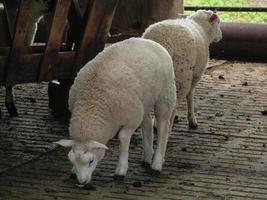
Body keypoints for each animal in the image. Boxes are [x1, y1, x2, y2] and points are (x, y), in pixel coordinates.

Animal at [55, 37, 177, 186]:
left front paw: (121, 170)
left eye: (91, 161)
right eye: (71, 160)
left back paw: (156, 164)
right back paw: (147, 157)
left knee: (163, 127)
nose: (81, 182)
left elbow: (123, 138)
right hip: (144, 101)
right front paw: (73, 171)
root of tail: (150, 41)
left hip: (165, 96)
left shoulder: (131, 118)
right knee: (148, 123)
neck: (91, 104)